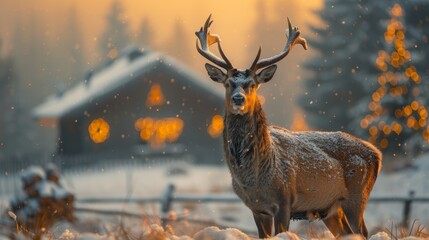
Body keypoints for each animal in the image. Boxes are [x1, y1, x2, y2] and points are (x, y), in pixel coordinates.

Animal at [195, 15, 382, 238]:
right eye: (228, 83)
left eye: (253, 84)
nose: (238, 99)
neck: (254, 180)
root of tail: (376, 154)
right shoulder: (257, 209)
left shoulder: (284, 201)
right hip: (331, 209)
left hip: (357, 196)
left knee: (363, 231)